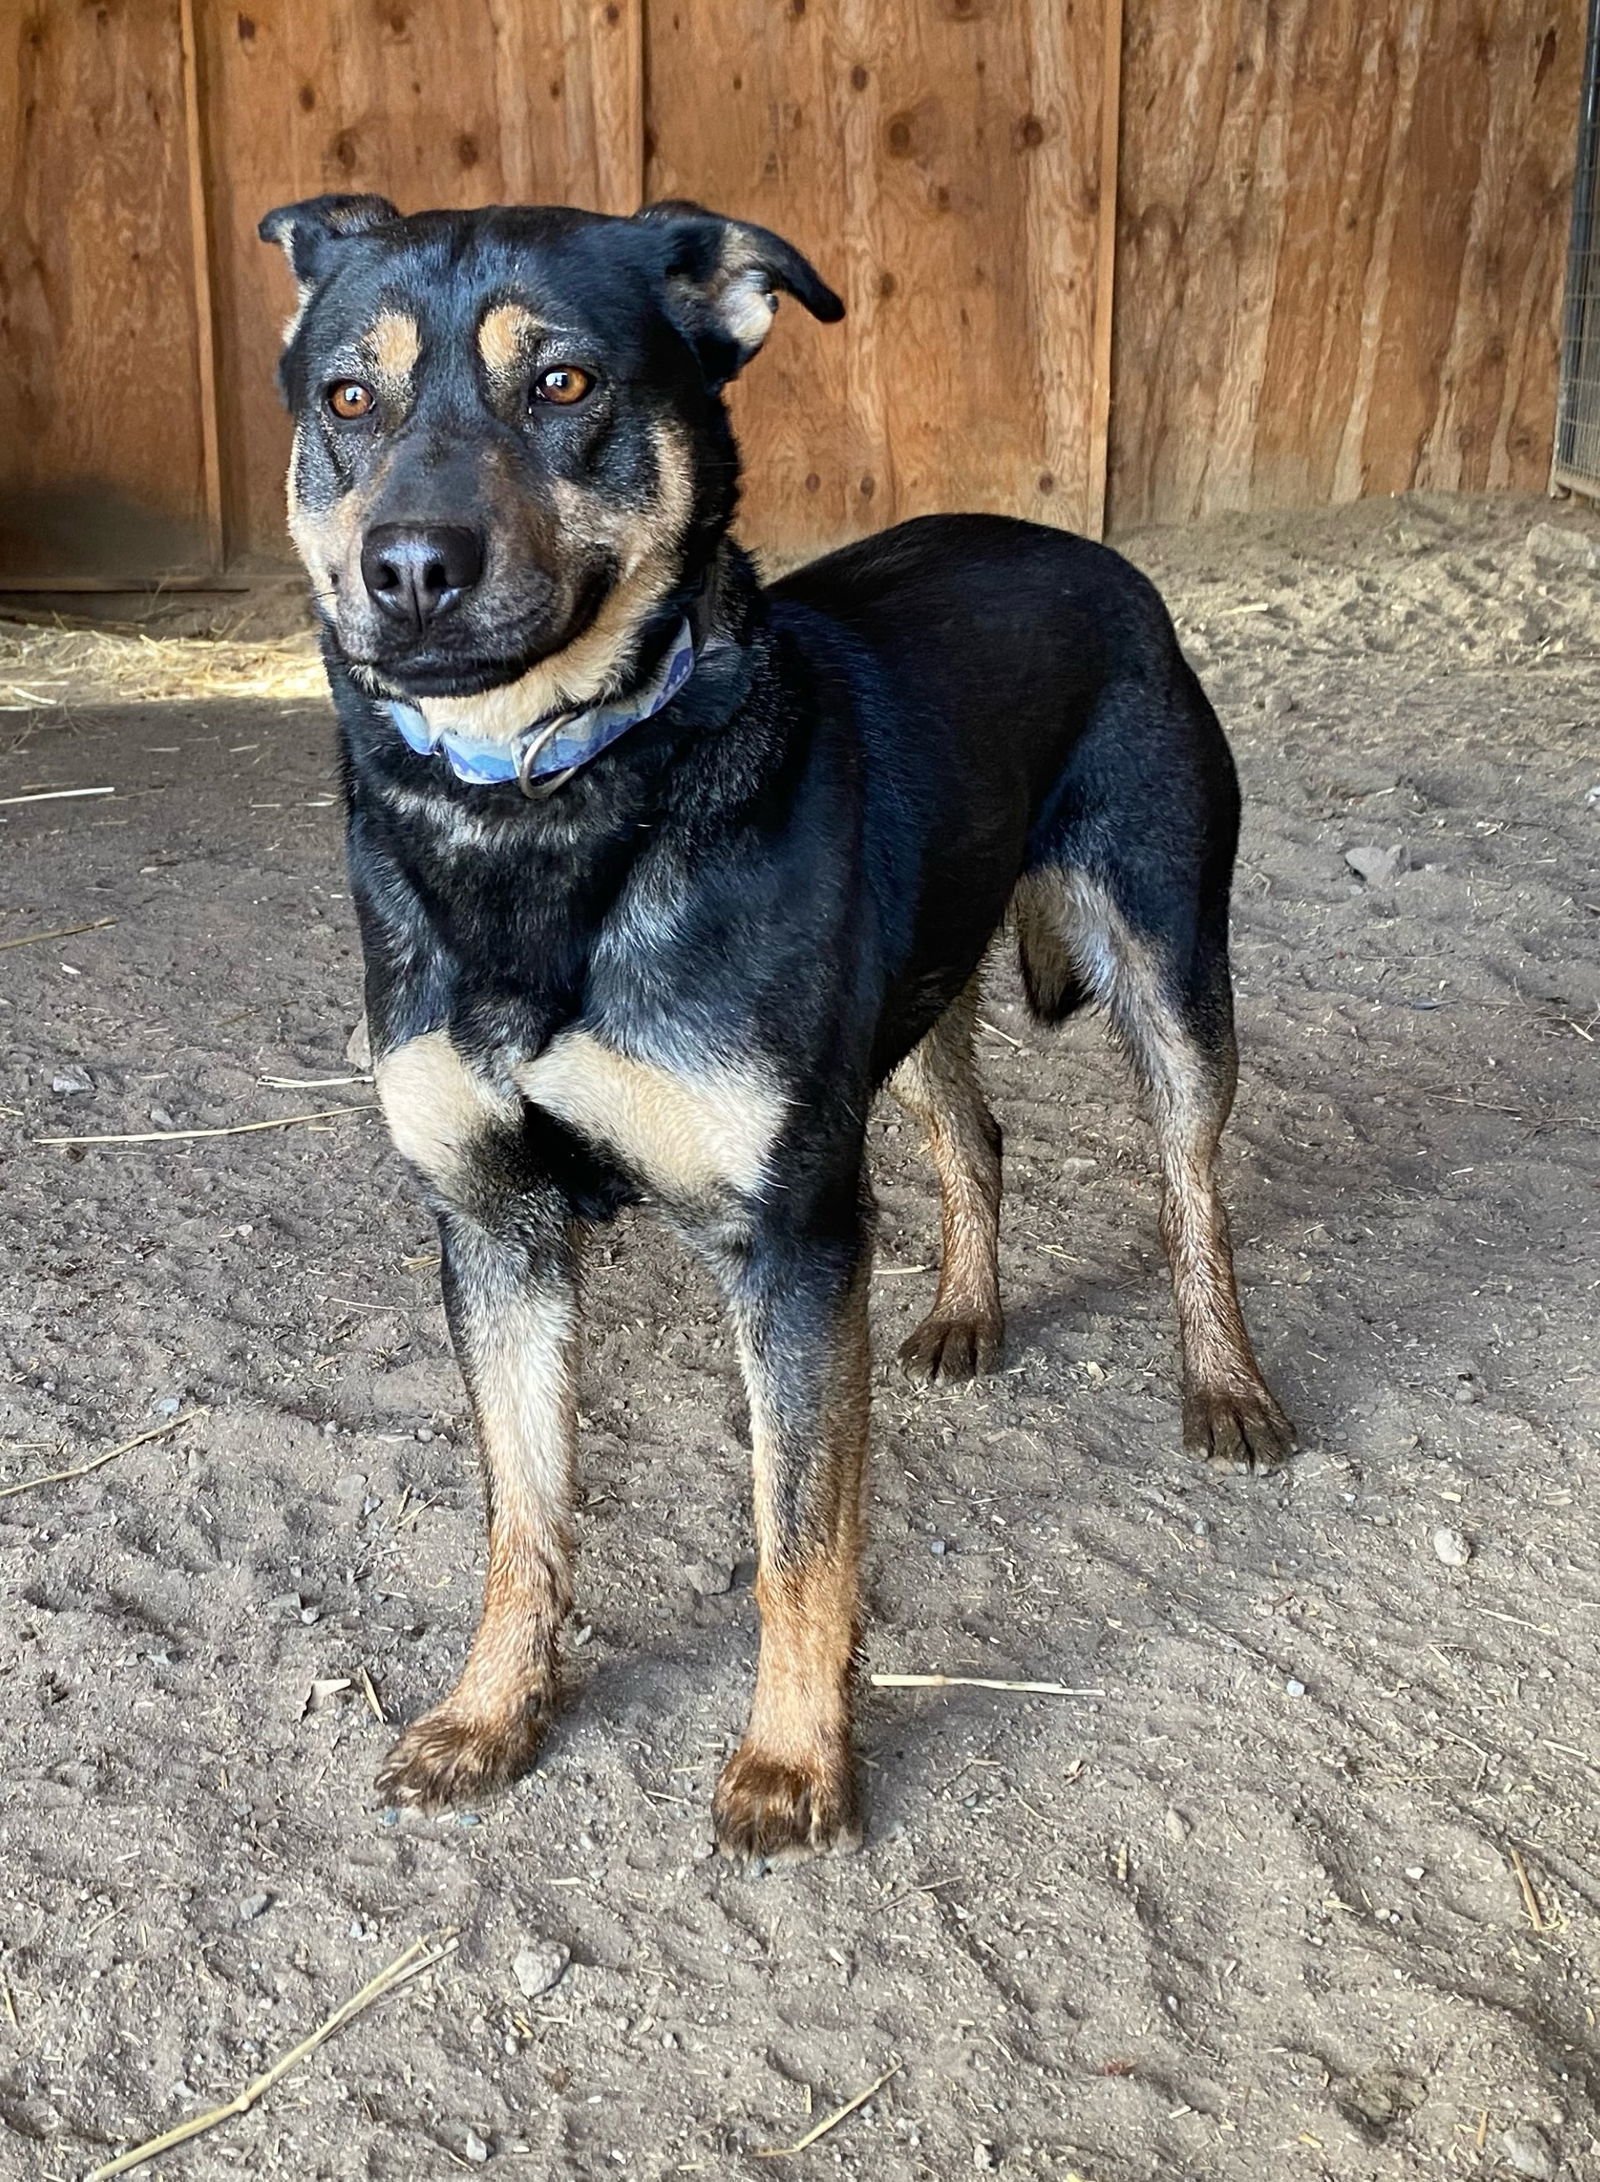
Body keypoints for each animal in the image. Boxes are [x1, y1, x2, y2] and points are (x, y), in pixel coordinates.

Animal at [255, 192, 1292, 1859]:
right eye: (350, 399)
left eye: (563, 384)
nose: (411, 567)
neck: (542, 813)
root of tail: (1082, 548)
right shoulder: (493, 1226)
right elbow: (521, 1515)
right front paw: (492, 1713)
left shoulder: (793, 1238)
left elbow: (799, 1535)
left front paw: (796, 1759)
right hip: (914, 996)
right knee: (975, 1133)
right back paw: (967, 1310)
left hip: (1171, 963)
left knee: (1192, 1188)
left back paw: (1226, 1385)